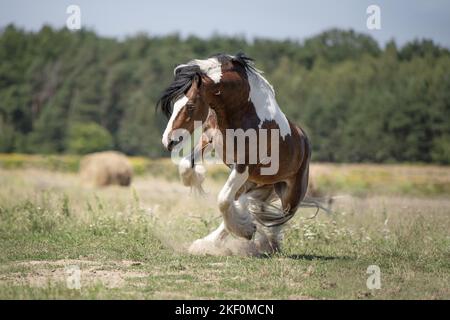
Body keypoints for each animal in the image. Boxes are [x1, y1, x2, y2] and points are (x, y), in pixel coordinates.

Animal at [157, 53, 310, 256]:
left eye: (190, 105)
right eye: (175, 104)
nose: (168, 141)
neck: (243, 111)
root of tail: (304, 140)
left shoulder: (244, 165)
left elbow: (222, 200)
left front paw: (245, 230)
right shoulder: (208, 139)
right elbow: (186, 165)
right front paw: (198, 179)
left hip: (290, 195)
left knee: (277, 217)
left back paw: (264, 241)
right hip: (256, 183)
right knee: (243, 203)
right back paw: (208, 242)